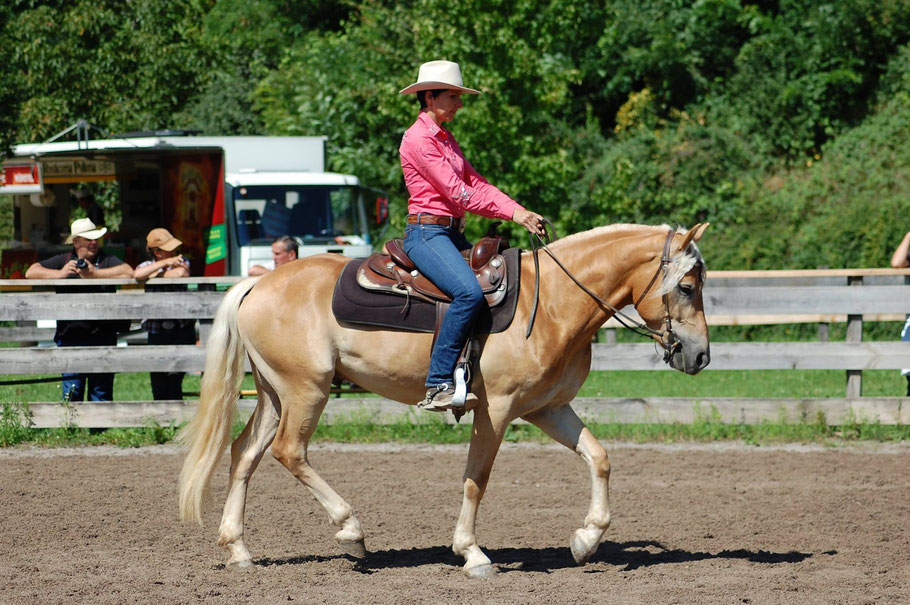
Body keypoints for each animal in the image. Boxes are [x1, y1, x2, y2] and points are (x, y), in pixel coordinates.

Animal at [178, 222, 712, 576]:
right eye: (687, 287)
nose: (700, 355)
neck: (554, 303)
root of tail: (257, 283)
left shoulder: (547, 408)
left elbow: (599, 457)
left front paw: (585, 540)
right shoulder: (496, 410)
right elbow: (477, 479)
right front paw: (472, 554)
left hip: (274, 393)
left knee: (244, 453)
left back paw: (239, 550)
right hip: (306, 389)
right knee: (290, 451)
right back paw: (351, 532)